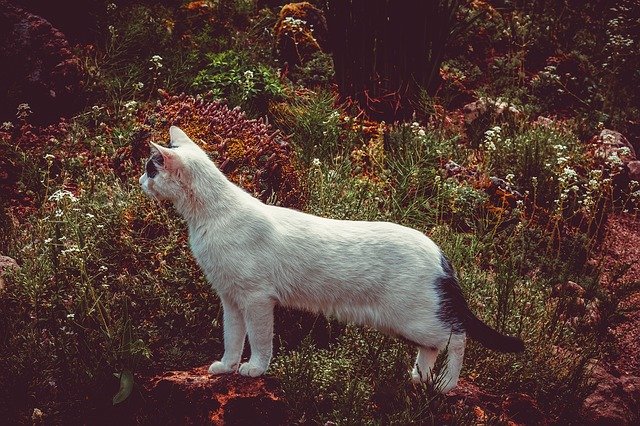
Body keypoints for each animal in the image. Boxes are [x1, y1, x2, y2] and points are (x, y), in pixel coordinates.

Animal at [140, 125, 524, 392]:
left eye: (150, 168)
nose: (140, 180)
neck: (208, 218)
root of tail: (440, 252)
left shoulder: (257, 299)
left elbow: (260, 342)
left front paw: (255, 369)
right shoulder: (231, 300)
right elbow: (232, 339)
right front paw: (226, 366)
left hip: (416, 318)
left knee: (458, 337)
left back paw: (446, 385)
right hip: (408, 324)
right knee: (431, 348)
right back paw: (419, 378)